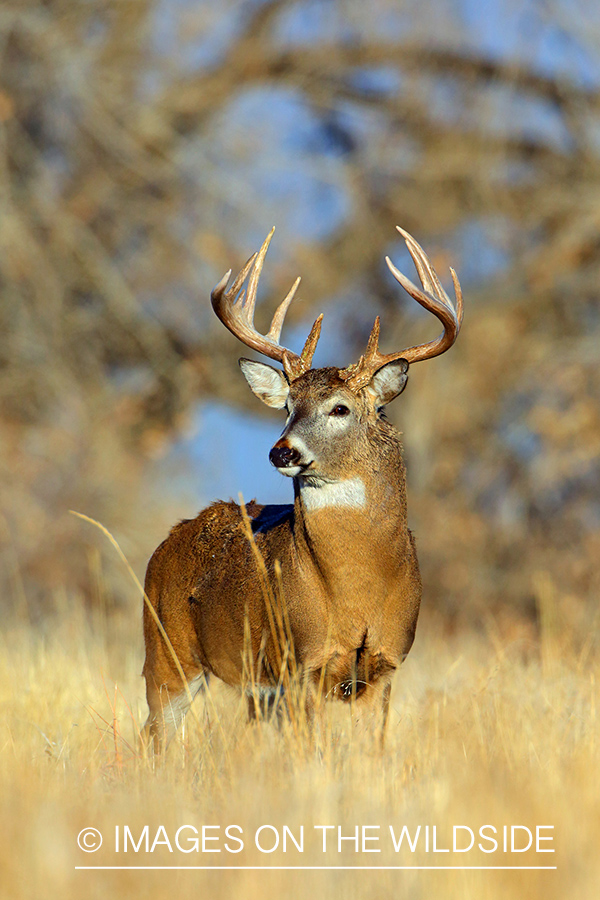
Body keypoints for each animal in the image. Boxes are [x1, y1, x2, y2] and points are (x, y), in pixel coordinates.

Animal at [142, 227, 464, 752]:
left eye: (340, 408)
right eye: (288, 406)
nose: (281, 452)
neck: (356, 591)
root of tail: (167, 542)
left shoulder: (386, 663)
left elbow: (371, 751)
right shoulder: (302, 659)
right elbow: (312, 749)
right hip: (168, 651)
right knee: (154, 733)